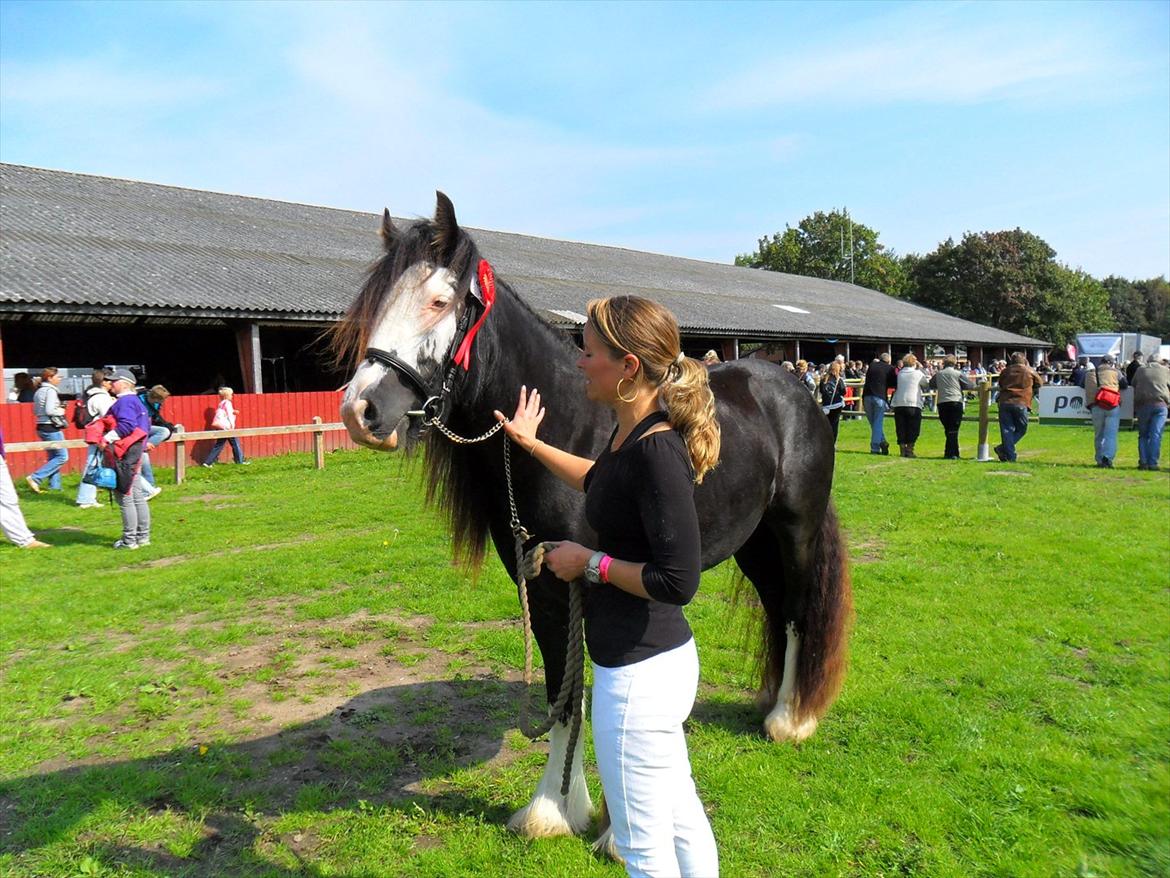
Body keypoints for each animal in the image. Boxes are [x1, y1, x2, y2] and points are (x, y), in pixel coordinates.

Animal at [329, 191, 851, 838]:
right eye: (376, 304)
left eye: (438, 301)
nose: (361, 411)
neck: (568, 422)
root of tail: (794, 387)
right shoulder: (537, 576)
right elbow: (561, 685)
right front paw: (558, 806)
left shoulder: (573, 577)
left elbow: (577, 686)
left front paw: (556, 809)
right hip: (752, 543)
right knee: (778, 608)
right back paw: (771, 703)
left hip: (794, 530)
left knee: (800, 609)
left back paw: (790, 720)